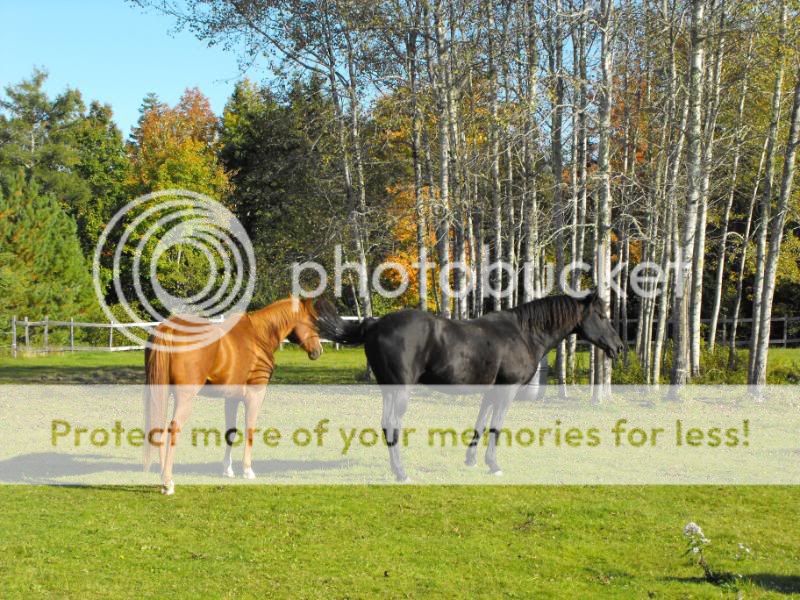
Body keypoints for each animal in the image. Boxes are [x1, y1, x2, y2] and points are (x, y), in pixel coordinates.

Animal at [144, 298, 322, 494]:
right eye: (312, 321)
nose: (318, 350)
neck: (259, 335)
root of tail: (170, 329)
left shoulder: (232, 398)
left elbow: (231, 431)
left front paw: (227, 470)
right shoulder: (255, 395)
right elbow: (249, 429)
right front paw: (247, 470)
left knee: (159, 428)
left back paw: (162, 477)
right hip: (184, 398)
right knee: (173, 428)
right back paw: (168, 482)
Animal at [318, 292, 624, 480]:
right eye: (602, 316)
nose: (619, 347)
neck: (522, 334)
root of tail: (375, 324)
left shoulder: (491, 392)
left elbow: (480, 423)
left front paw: (471, 460)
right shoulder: (506, 392)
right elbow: (496, 426)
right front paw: (494, 465)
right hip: (401, 390)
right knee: (392, 424)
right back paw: (401, 473)